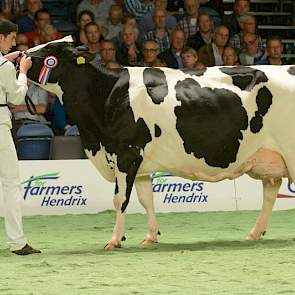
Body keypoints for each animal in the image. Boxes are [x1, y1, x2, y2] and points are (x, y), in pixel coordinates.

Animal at [26, 37, 295, 249]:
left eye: (51, 51)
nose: (21, 57)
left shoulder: (127, 153)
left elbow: (120, 199)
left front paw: (114, 240)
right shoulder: (140, 162)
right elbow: (147, 199)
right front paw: (150, 237)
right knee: (270, 191)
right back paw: (254, 233)